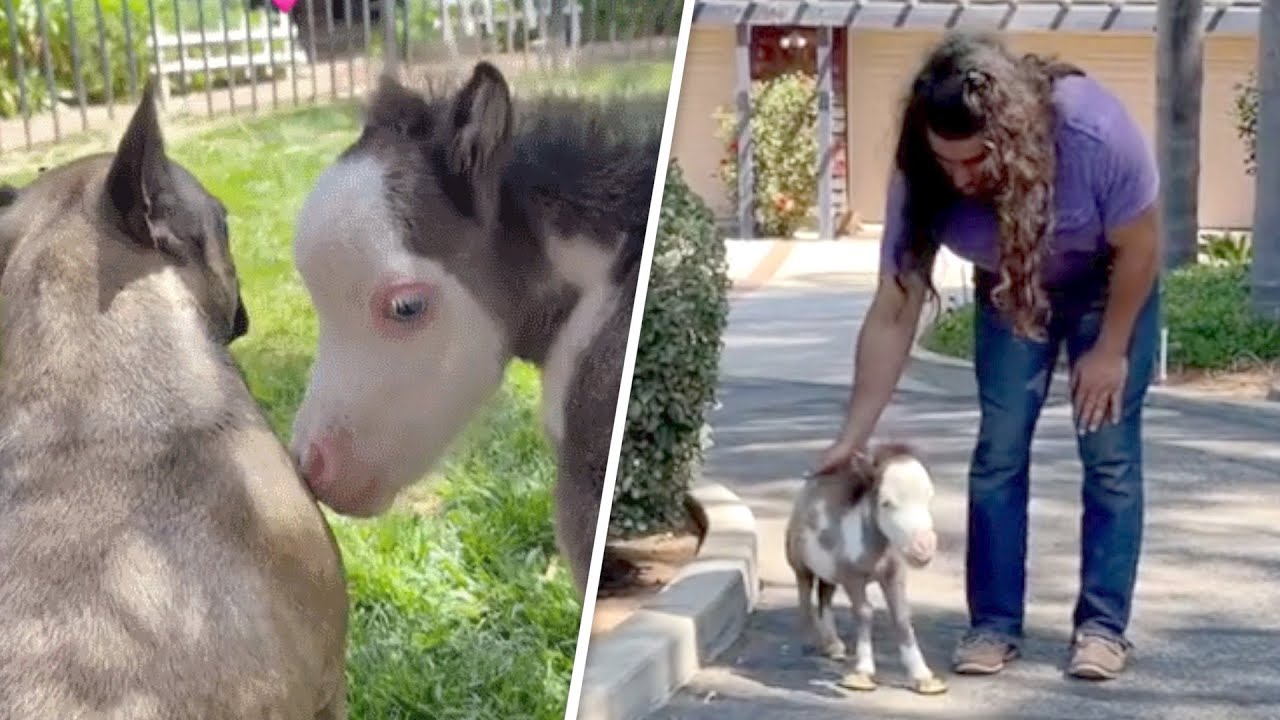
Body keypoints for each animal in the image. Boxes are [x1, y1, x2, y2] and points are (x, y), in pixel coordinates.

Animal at [783, 440, 947, 691]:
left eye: (929, 496)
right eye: (886, 503)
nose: (923, 549)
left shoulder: (894, 575)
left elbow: (901, 616)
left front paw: (922, 676)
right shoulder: (853, 579)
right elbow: (864, 612)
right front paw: (863, 673)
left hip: (830, 570)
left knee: (824, 597)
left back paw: (833, 646)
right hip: (801, 565)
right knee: (804, 594)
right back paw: (808, 643)